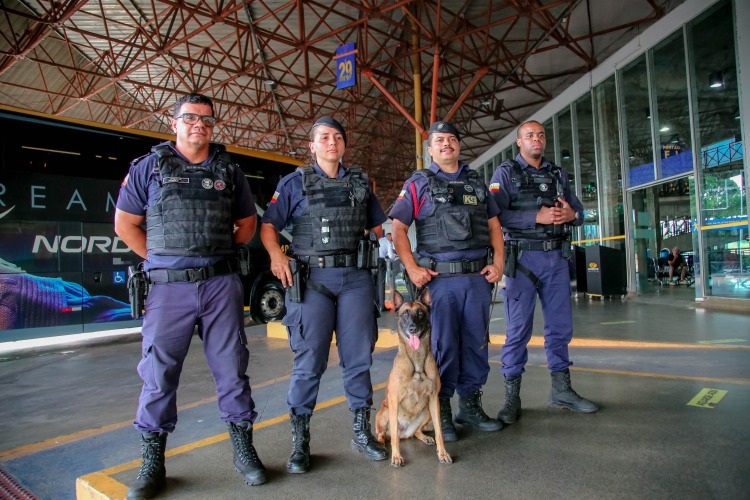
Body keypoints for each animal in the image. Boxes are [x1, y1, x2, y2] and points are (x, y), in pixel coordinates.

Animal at [376, 288, 452, 466]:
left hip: (427, 411)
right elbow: (394, 438)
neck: (416, 360)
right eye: (404, 313)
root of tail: (405, 433)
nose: (413, 329)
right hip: (384, 412)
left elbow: (439, 432)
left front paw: (442, 453)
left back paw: (424, 437)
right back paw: (381, 444)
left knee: (415, 432)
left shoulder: (434, 399)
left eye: (420, 313)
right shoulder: (394, 400)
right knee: (386, 435)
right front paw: (396, 456)